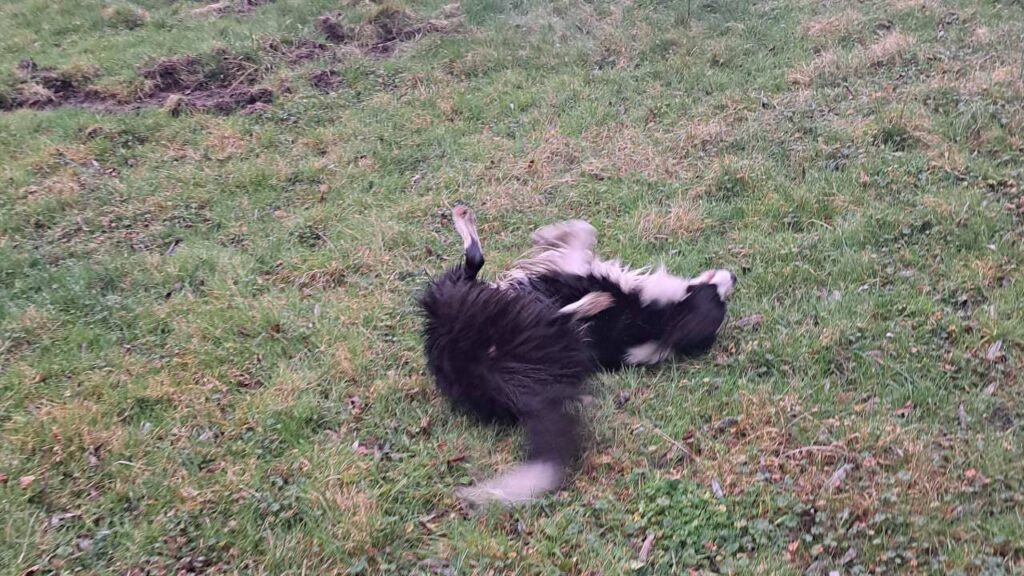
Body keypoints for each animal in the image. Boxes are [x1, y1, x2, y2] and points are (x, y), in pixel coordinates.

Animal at [419, 206, 733, 502]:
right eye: (718, 296)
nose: (734, 276)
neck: (659, 321)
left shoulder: (577, 271)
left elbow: (581, 237)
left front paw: (549, 235)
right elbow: (586, 229)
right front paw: (549, 234)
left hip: (480, 306)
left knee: (476, 262)